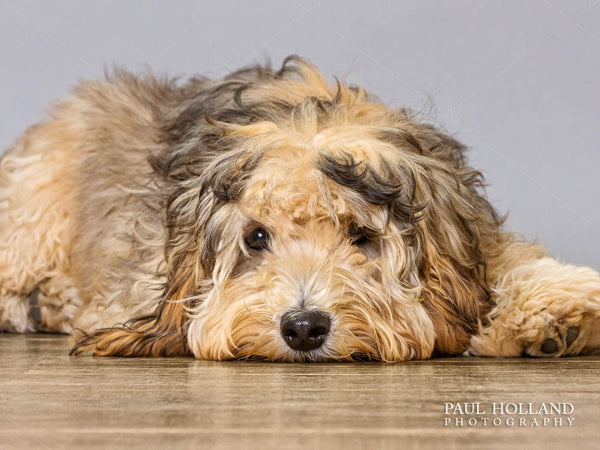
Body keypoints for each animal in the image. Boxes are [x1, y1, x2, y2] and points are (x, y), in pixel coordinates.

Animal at [1, 56, 600, 360]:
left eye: (361, 236)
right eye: (256, 237)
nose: (305, 328)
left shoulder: (467, 234)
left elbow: (507, 262)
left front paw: (558, 311)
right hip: (33, 200)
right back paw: (43, 300)